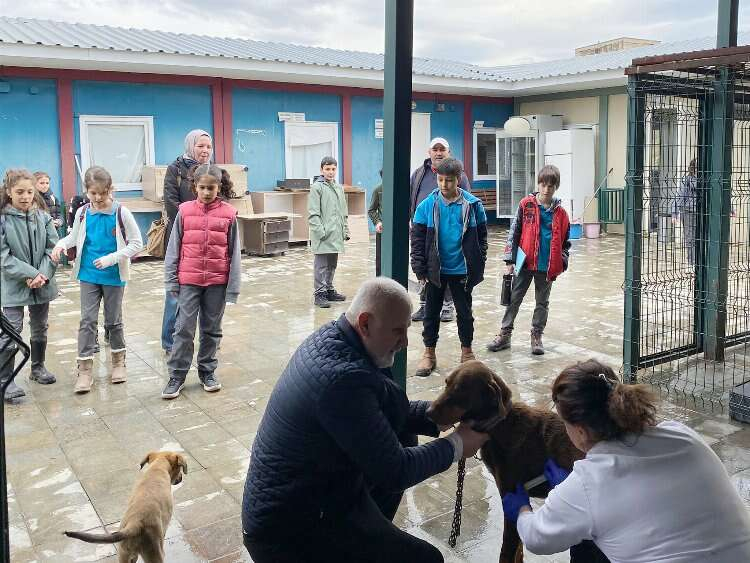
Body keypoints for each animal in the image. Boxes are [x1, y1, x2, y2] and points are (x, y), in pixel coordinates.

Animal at [426, 362, 608, 563]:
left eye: (460, 390)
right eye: (446, 383)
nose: (428, 413)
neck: (499, 425)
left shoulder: (511, 500)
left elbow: (506, 552)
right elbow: (518, 551)